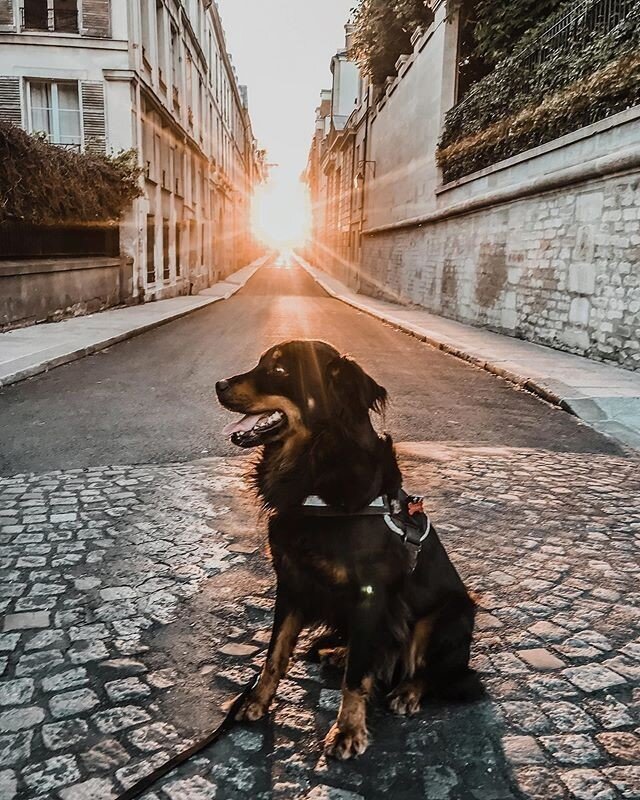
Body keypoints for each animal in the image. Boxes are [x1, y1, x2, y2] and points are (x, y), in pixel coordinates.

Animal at [215, 340, 480, 760]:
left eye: (280, 370)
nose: (219, 385)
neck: (314, 475)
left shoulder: (371, 595)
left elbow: (356, 677)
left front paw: (348, 730)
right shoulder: (291, 581)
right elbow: (275, 654)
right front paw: (255, 700)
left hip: (450, 613)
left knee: (432, 672)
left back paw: (407, 691)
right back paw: (340, 653)